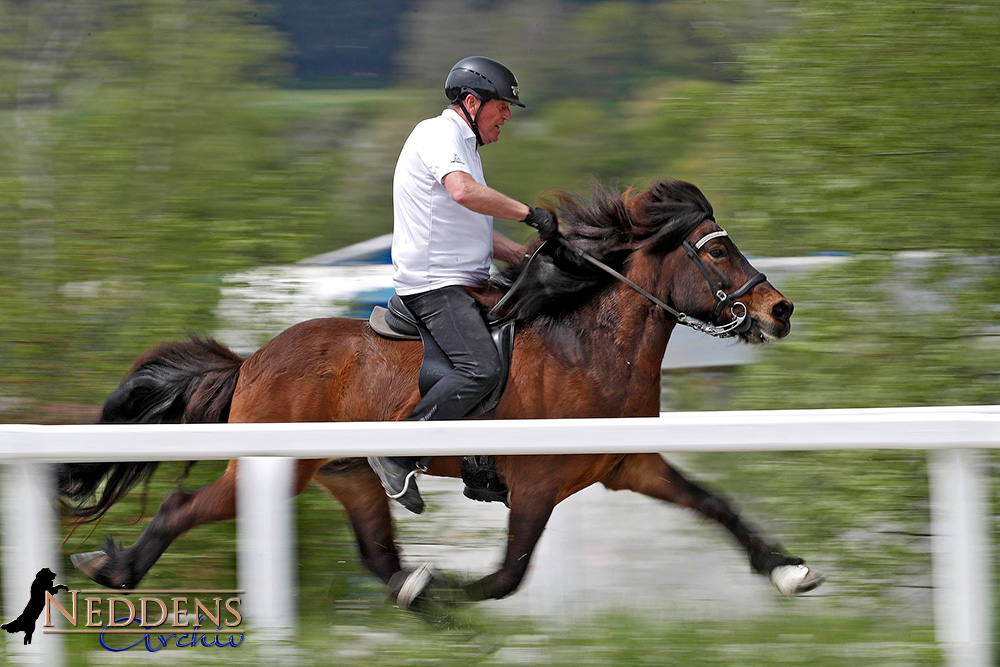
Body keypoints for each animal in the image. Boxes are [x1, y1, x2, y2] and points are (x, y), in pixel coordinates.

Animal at [62, 180, 824, 608]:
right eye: (716, 250)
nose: (780, 310)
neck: (588, 345)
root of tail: (252, 362)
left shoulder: (629, 464)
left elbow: (716, 505)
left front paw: (787, 571)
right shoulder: (538, 485)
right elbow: (508, 575)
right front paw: (456, 594)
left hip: (347, 475)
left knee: (378, 556)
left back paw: (411, 590)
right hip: (276, 466)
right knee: (182, 506)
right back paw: (115, 567)